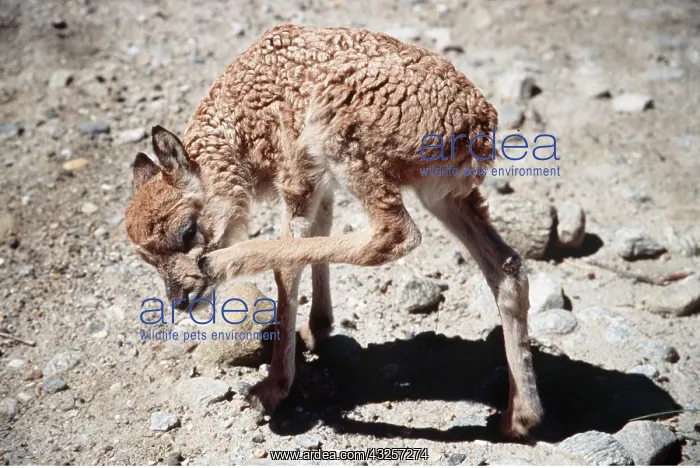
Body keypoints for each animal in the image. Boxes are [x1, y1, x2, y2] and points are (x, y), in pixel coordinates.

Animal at [125, 24, 543, 438]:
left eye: (187, 231)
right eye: (146, 259)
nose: (180, 300)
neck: (241, 122)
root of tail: (479, 128)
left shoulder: (297, 177)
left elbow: (288, 268)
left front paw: (274, 387)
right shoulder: (319, 184)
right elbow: (319, 232)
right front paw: (319, 326)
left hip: (346, 138)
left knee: (395, 234)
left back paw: (224, 263)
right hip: (444, 196)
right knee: (507, 267)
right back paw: (521, 417)